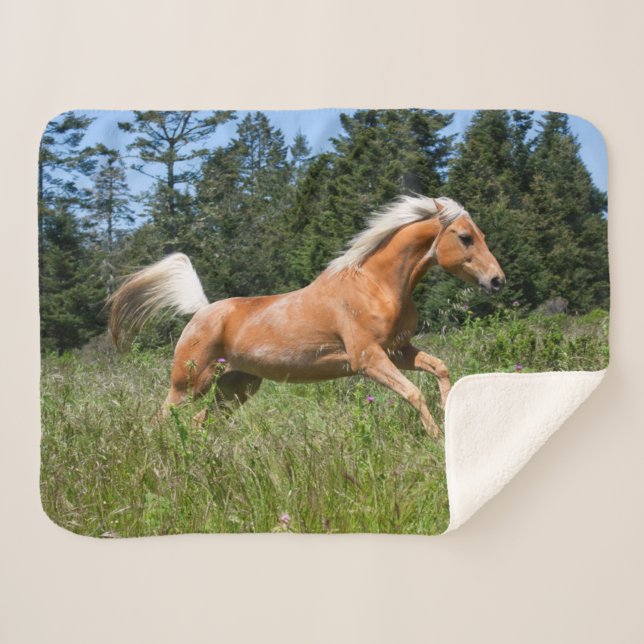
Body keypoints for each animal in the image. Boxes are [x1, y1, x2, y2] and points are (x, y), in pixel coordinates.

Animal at [108, 195, 505, 438]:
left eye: (482, 234)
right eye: (465, 237)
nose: (497, 280)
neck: (375, 285)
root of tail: (202, 310)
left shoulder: (399, 351)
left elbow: (440, 369)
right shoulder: (368, 359)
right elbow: (413, 394)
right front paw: (436, 439)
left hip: (236, 387)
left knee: (198, 422)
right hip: (189, 385)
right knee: (162, 420)